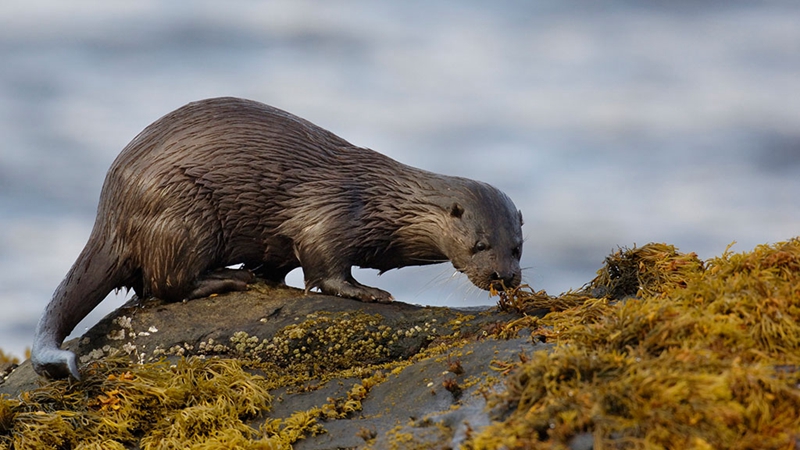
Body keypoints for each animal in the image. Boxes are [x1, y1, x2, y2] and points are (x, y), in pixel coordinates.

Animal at [29, 96, 524, 378]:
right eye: (479, 245)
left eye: (517, 248)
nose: (504, 277)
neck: (381, 204)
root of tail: (112, 209)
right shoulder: (330, 217)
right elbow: (327, 269)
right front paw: (371, 292)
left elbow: (284, 261)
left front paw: (271, 277)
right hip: (183, 214)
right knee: (164, 282)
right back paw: (228, 278)